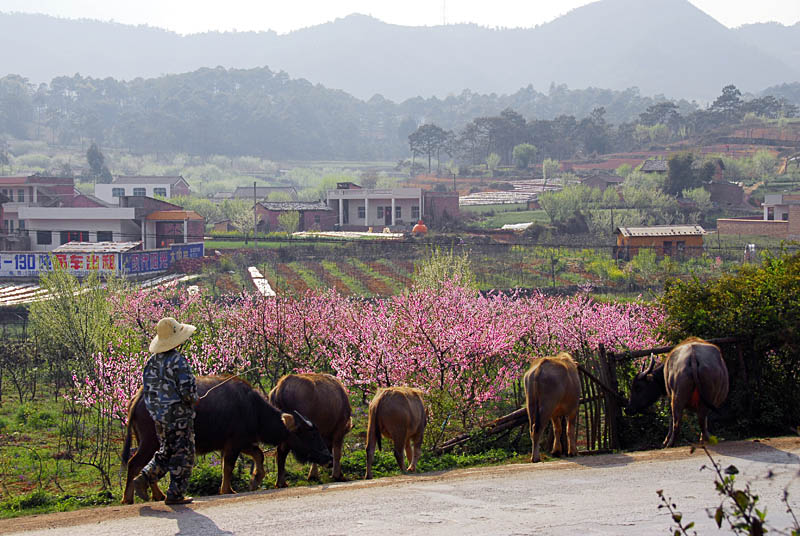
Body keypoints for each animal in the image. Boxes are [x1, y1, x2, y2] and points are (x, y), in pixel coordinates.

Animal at [119, 374, 332, 504]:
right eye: (312, 433)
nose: (328, 457)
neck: (253, 409)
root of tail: (138, 397)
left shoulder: (242, 442)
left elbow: (258, 455)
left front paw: (255, 479)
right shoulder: (234, 444)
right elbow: (229, 466)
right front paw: (227, 489)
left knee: (147, 463)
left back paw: (157, 494)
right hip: (150, 441)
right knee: (134, 463)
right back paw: (128, 498)